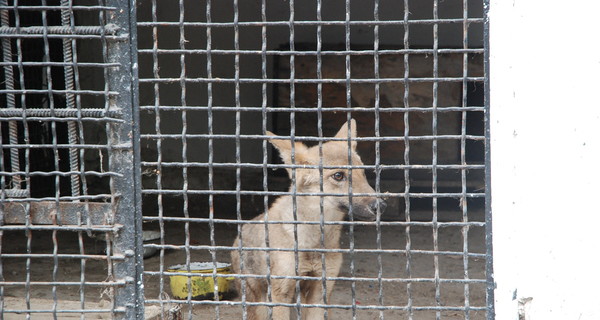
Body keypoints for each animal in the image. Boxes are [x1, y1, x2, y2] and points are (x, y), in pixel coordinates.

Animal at [232, 119, 386, 318]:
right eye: (338, 175)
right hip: (260, 305)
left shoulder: (319, 292)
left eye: (363, 173)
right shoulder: (281, 295)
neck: (313, 243)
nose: (380, 205)